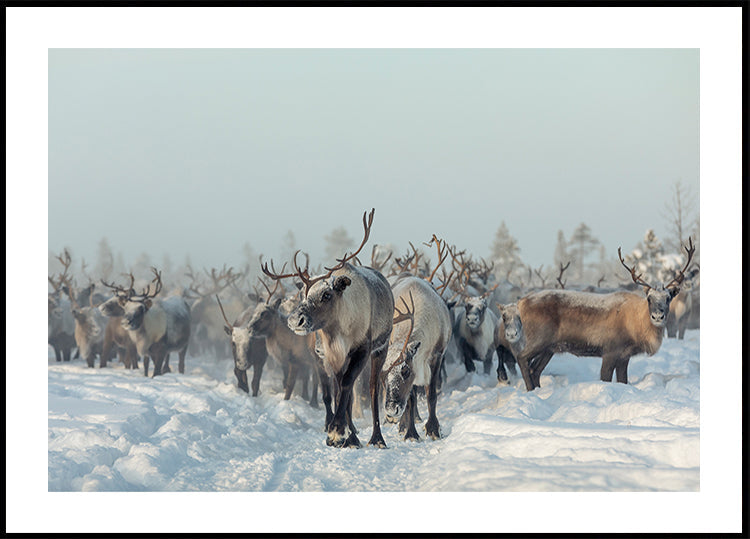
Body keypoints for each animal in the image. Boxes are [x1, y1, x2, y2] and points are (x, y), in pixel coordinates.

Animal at [261, 208, 395, 449]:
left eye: (326, 294)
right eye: (303, 294)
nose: (294, 320)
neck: (338, 333)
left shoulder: (362, 349)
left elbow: (348, 384)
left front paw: (336, 431)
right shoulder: (326, 355)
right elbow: (336, 390)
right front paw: (343, 433)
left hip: (382, 346)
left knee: (371, 387)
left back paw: (376, 437)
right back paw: (353, 434)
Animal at [495, 238, 696, 391]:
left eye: (668, 298)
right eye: (649, 298)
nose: (658, 317)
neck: (636, 326)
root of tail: (522, 303)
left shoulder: (624, 355)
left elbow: (623, 381)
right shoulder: (610, 350)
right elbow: (605, 378)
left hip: (550, 347)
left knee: (535, 370)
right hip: (539, 339)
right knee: (522, 359)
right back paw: (531, 390)